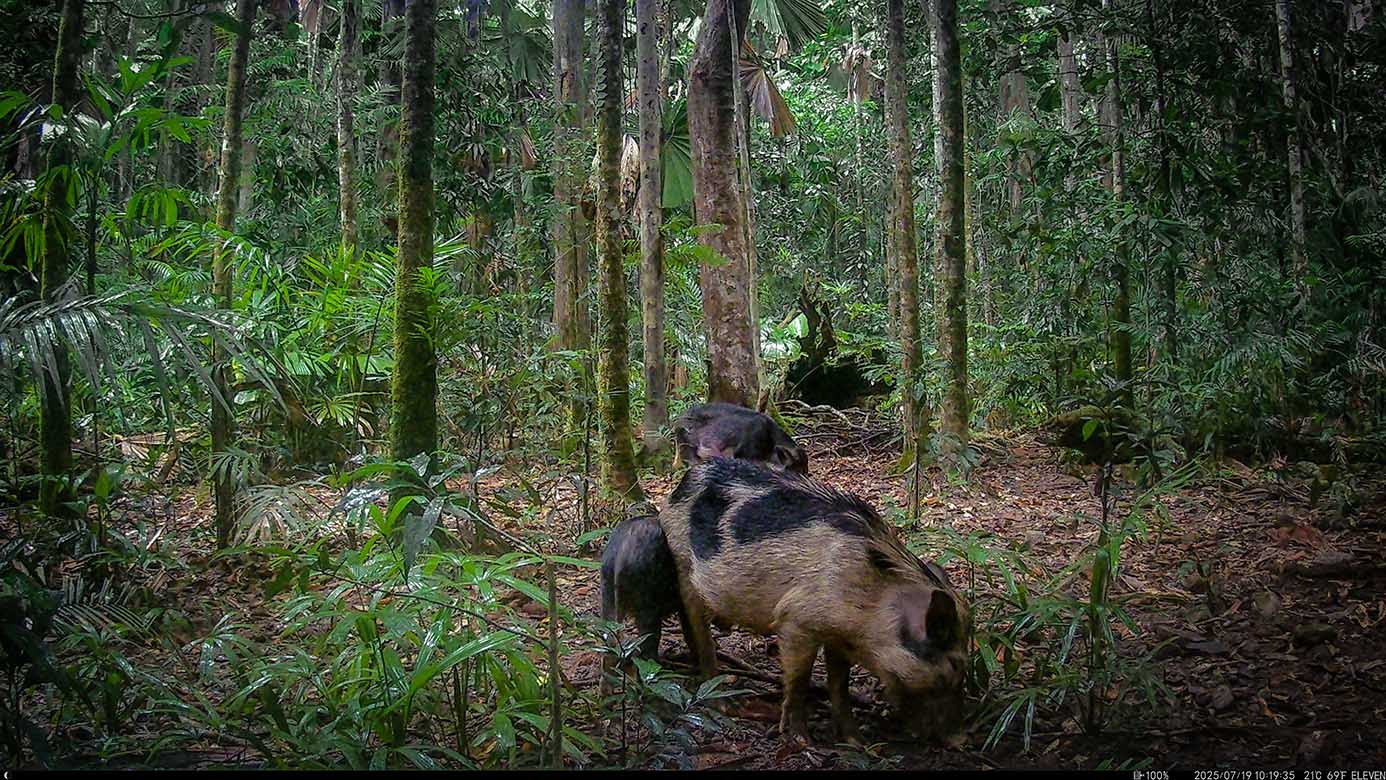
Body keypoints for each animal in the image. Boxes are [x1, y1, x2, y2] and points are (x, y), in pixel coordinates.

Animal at [657, 458, 969, 745]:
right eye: (954, 667)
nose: (961, 739)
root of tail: (686, 479)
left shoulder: (840, 637)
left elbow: (840, 685)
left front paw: (856, 741)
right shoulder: (795, 620)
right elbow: (799, 680)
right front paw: (801, 740)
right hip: (681, 559)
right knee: (699, 629)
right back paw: (723, 702)